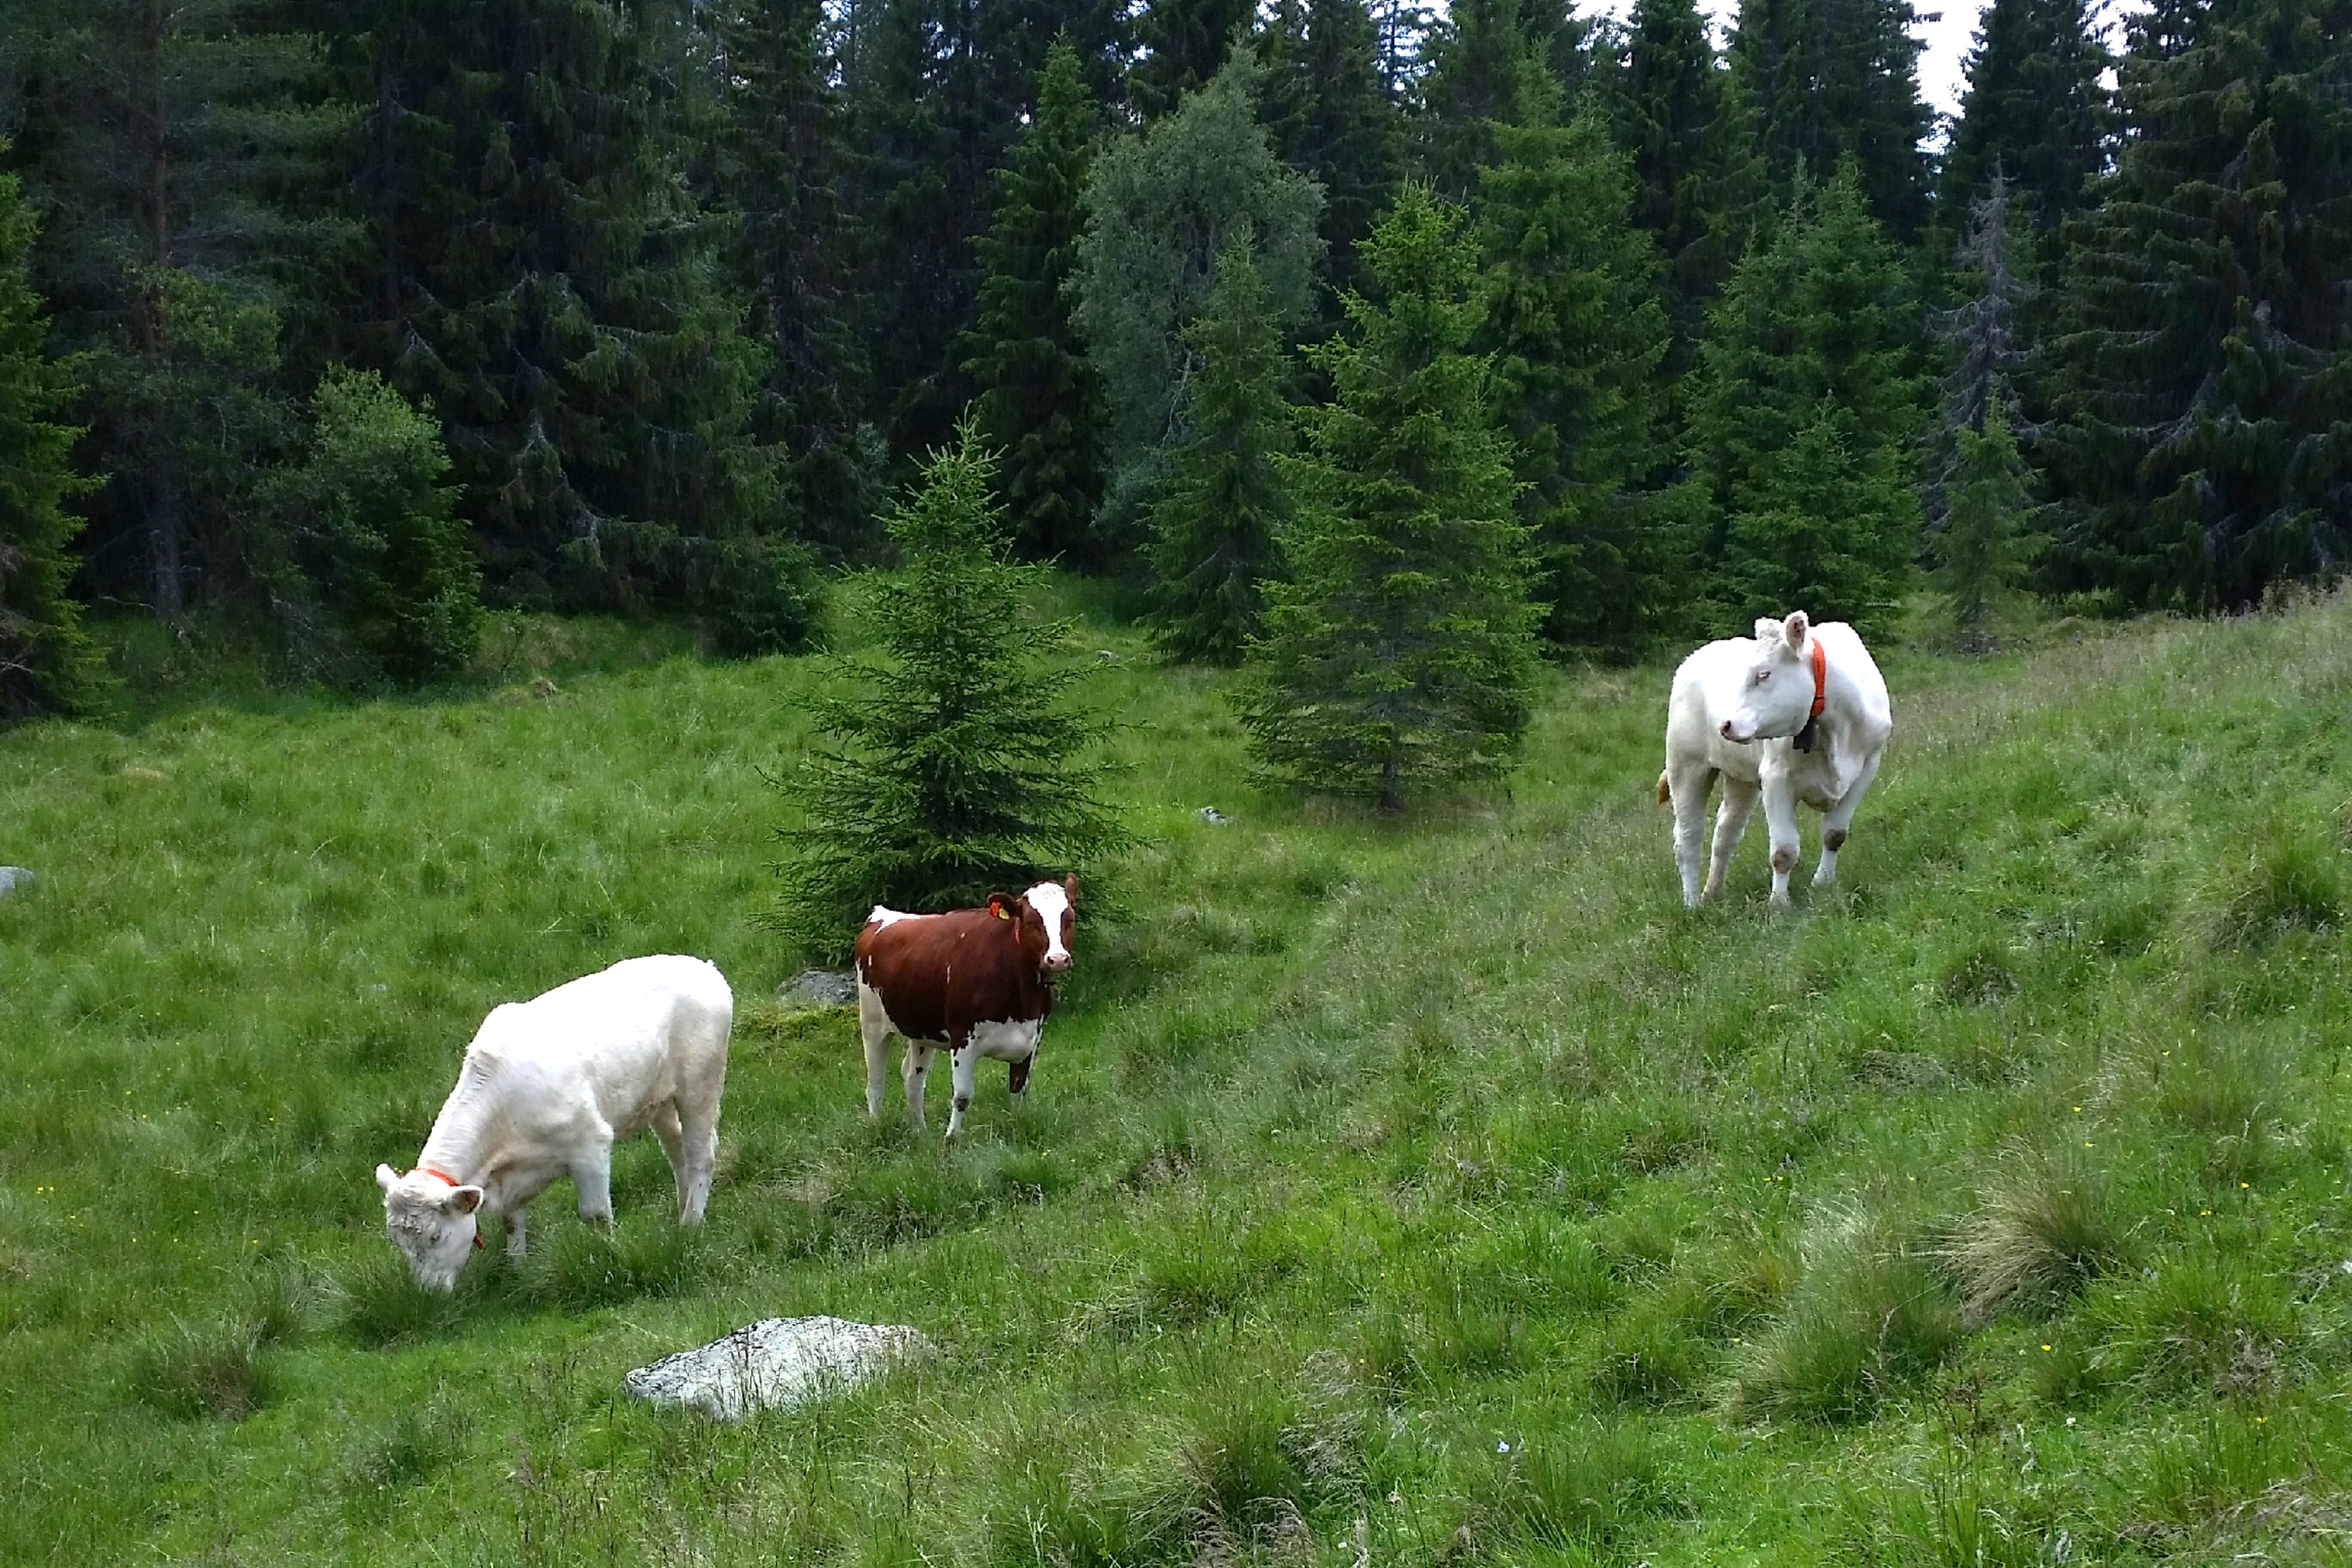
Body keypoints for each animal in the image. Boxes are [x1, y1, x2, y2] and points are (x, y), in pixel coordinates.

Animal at [374, 954, 733, 1292]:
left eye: (435, 1236)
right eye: (398, 1242)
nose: (428, 1294)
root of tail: (702, 966)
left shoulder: (591, 1145)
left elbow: (596, 1215)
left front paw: (603, 1257)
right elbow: (512, 1221)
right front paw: (517, 1270)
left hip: (700, 1085)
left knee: (700, 1155)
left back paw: (691, 1224)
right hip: (660, 1101)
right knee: (678, 1152)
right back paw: (682, 1214)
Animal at [854, 877, 1077, 1140]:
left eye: (1070, 919)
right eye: (1031, 921)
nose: (1058, 959)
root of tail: (882, 913)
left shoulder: (1032, 1038)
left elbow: (1018, 1091)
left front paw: (1015, 1127)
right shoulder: (962, 1037)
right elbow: (962, 1097)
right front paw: (951, 1140)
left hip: (922, 1029)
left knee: (912, 1077)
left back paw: (921, 1133)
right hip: (872, 1023)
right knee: (875, 1082)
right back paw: (876, 1125)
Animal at [1658, 611, 1893, 910]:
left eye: (1763, 674)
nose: (1726, 725)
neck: (1835, 729)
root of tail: (1694, 658)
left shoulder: (1868, 767)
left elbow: (1834, 835)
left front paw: (1823, 884)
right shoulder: (1776, 777)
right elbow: (1784, 851)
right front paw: (1779, 905)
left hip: (1740, 778)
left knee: (1725, 832)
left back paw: (1713, 893)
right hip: (1686, 765)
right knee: (1688, 838)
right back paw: (1692, 905)